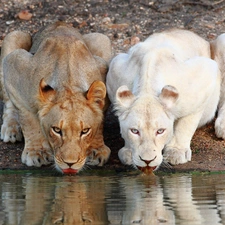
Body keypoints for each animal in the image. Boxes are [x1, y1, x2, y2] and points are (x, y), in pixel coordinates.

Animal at [107, 28, 221, 174]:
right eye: (135, 131)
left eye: (160, 131)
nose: (147, 161)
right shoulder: (114, 68)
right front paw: (128, 151)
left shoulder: (206, 73)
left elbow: (186, 123)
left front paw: (176, 152)